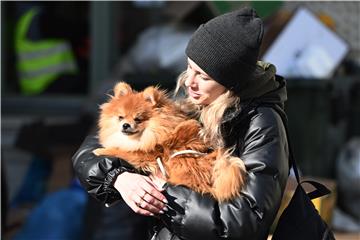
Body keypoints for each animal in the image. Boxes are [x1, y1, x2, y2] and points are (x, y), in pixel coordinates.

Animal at [93, 81, 246, 202]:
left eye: (138, 119)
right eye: (120, 117)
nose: (125, 125)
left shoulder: (144, 156)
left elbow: (120, 151)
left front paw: (101, 150)